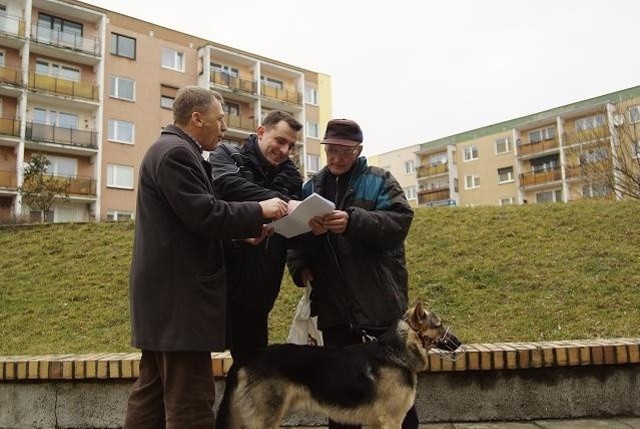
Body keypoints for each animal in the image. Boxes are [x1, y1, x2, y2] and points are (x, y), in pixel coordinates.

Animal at [215, 300, 460, 428]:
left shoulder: (376, 422)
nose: (458, 343)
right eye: (439, 325)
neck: (394, 352)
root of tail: (249, 355)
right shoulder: (391, 420)